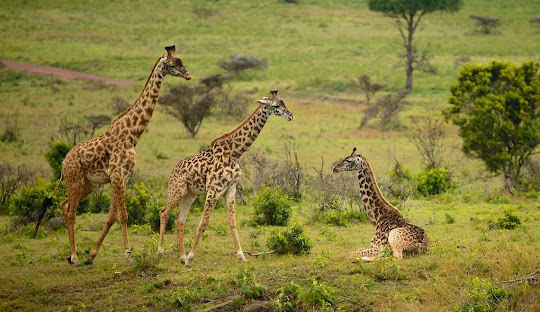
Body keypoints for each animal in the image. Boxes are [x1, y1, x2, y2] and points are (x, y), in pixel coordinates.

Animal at [34, 46, 193, 266]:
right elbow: (124, 216)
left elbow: (111, 217)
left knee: (64, 205)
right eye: (172, 64)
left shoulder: (122, 177)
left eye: (181, 62)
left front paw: (92, 255)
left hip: (88, 184)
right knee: (71, 212)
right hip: (75, 180)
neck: (132, 134)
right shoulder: (117, 175)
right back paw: (74, 257)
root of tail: (64, 163)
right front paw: (129, 255)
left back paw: (73, 255)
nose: (188, 75)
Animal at [158, 88, 294, 266]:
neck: (234, 153)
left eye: (284, 102)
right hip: (177, 190)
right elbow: (203, 223)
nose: (291, 115)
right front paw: (191, 257)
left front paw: (242, 256)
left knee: (179, 220)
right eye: (277, 105)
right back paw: (161, 251)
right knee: (164, 213)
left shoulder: (230, 189)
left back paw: (181, 257)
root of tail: (173, 170)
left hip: (190, 195)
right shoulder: (213, 190)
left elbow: (233, 223)